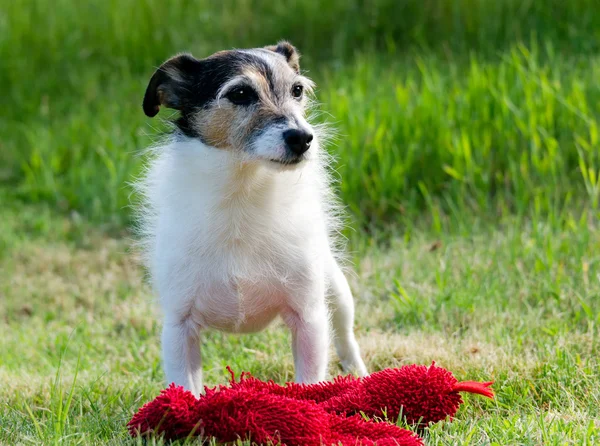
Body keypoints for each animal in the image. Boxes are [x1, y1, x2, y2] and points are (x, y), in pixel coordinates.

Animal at [138, 41, 368, 396]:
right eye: (241, 93)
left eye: (297, 90)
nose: (302, 138)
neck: (242, 193)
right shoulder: (179, 327)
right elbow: (186, 387)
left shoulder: (309, 319)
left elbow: (310, 379)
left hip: (337, 290)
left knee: (345, 334)